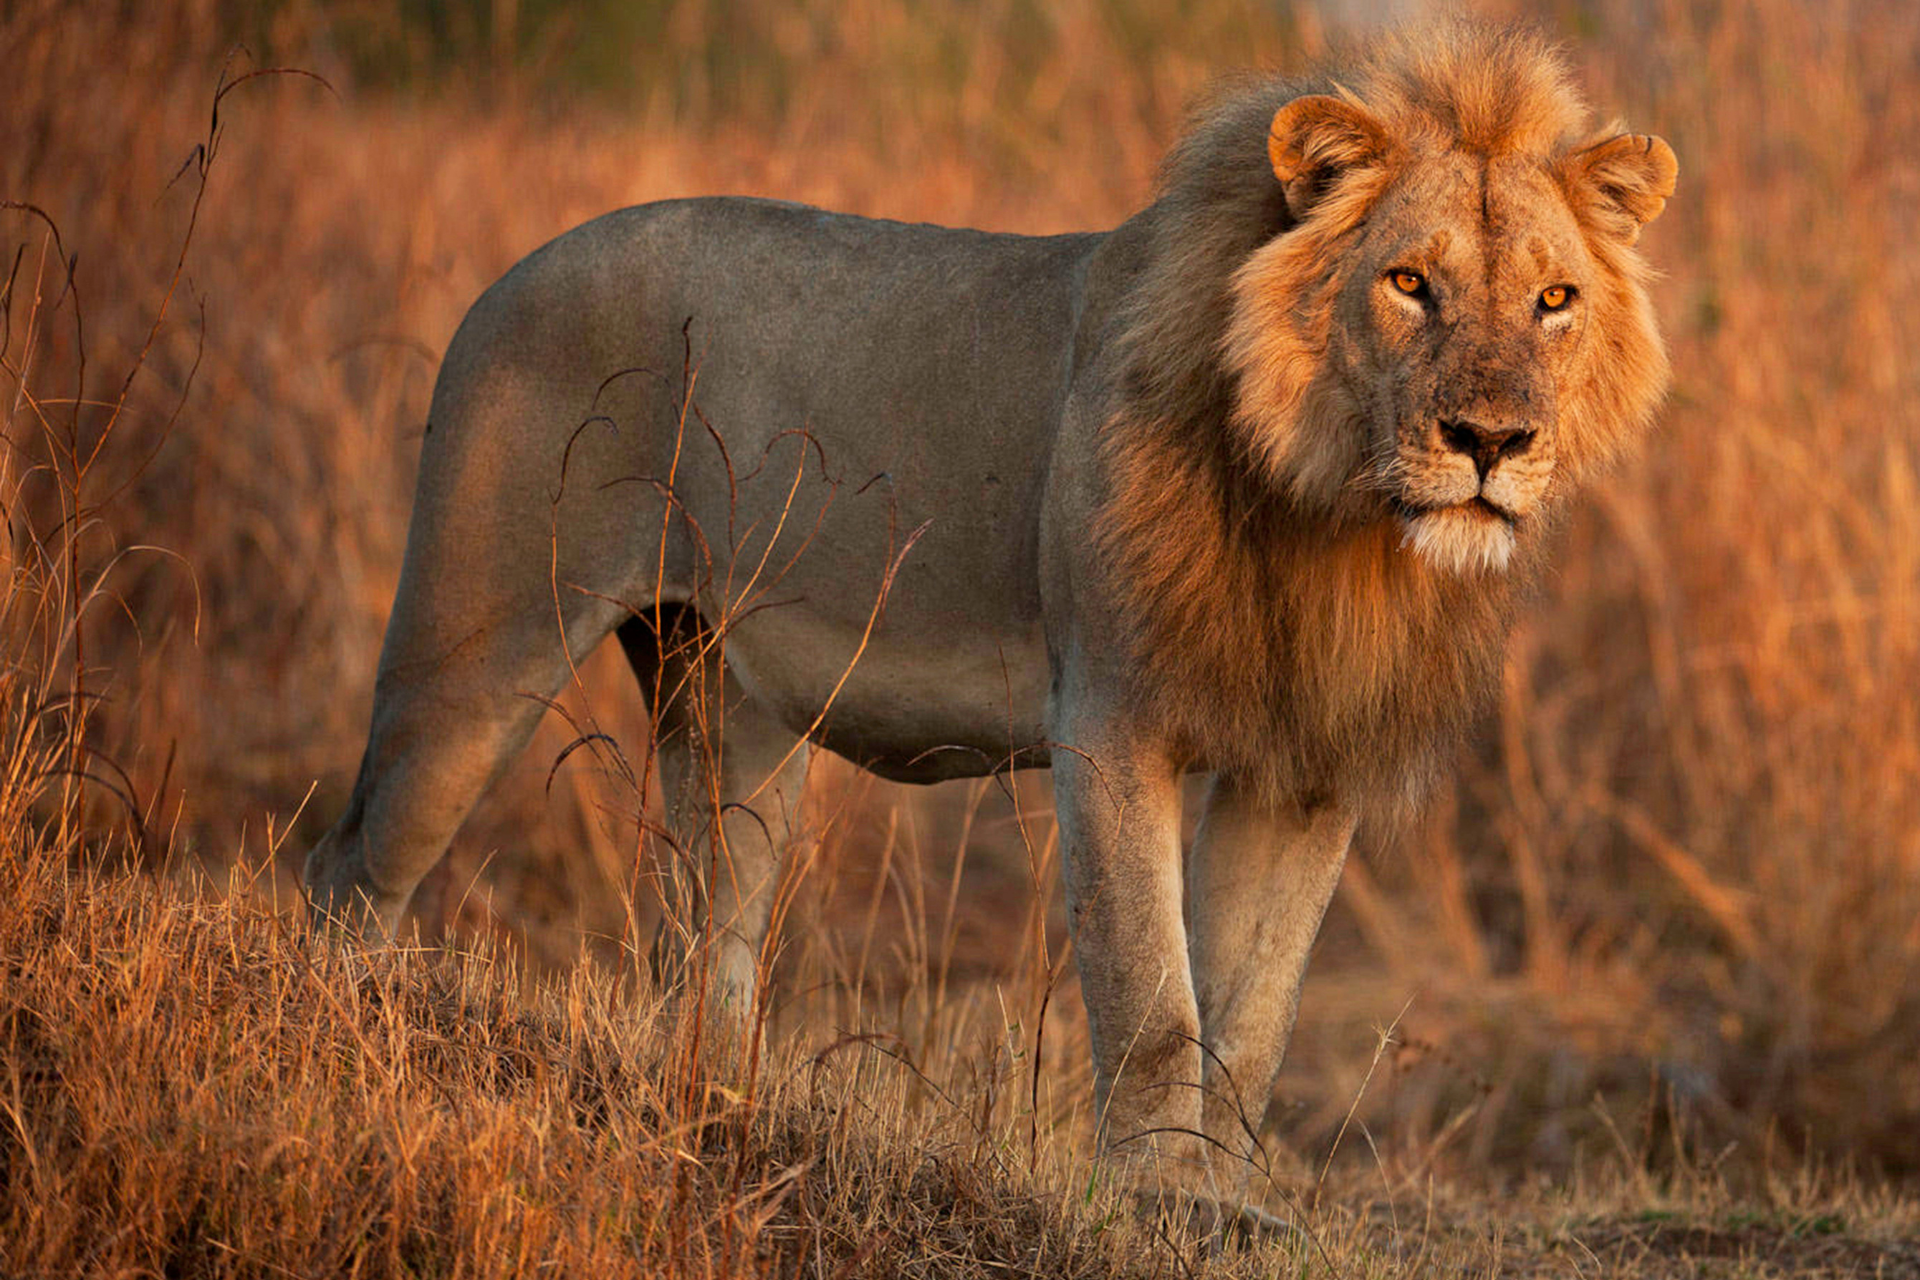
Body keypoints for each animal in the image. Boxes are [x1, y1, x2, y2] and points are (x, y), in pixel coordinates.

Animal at [305, 23, 1674, 1206]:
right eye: (1407, 283)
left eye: (1555, 299)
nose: (1493, 440)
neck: (1335, 518)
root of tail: (515, 268)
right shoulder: (1112, 718)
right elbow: (1154, 998)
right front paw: (1147, 1197)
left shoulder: (1304, 765)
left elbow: (1253, 1016)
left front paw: (1223, 1202)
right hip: (476, 650)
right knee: (355, 864)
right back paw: (344, 1040)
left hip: (726, 703)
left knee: (709, 940)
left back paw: (726, 1114)